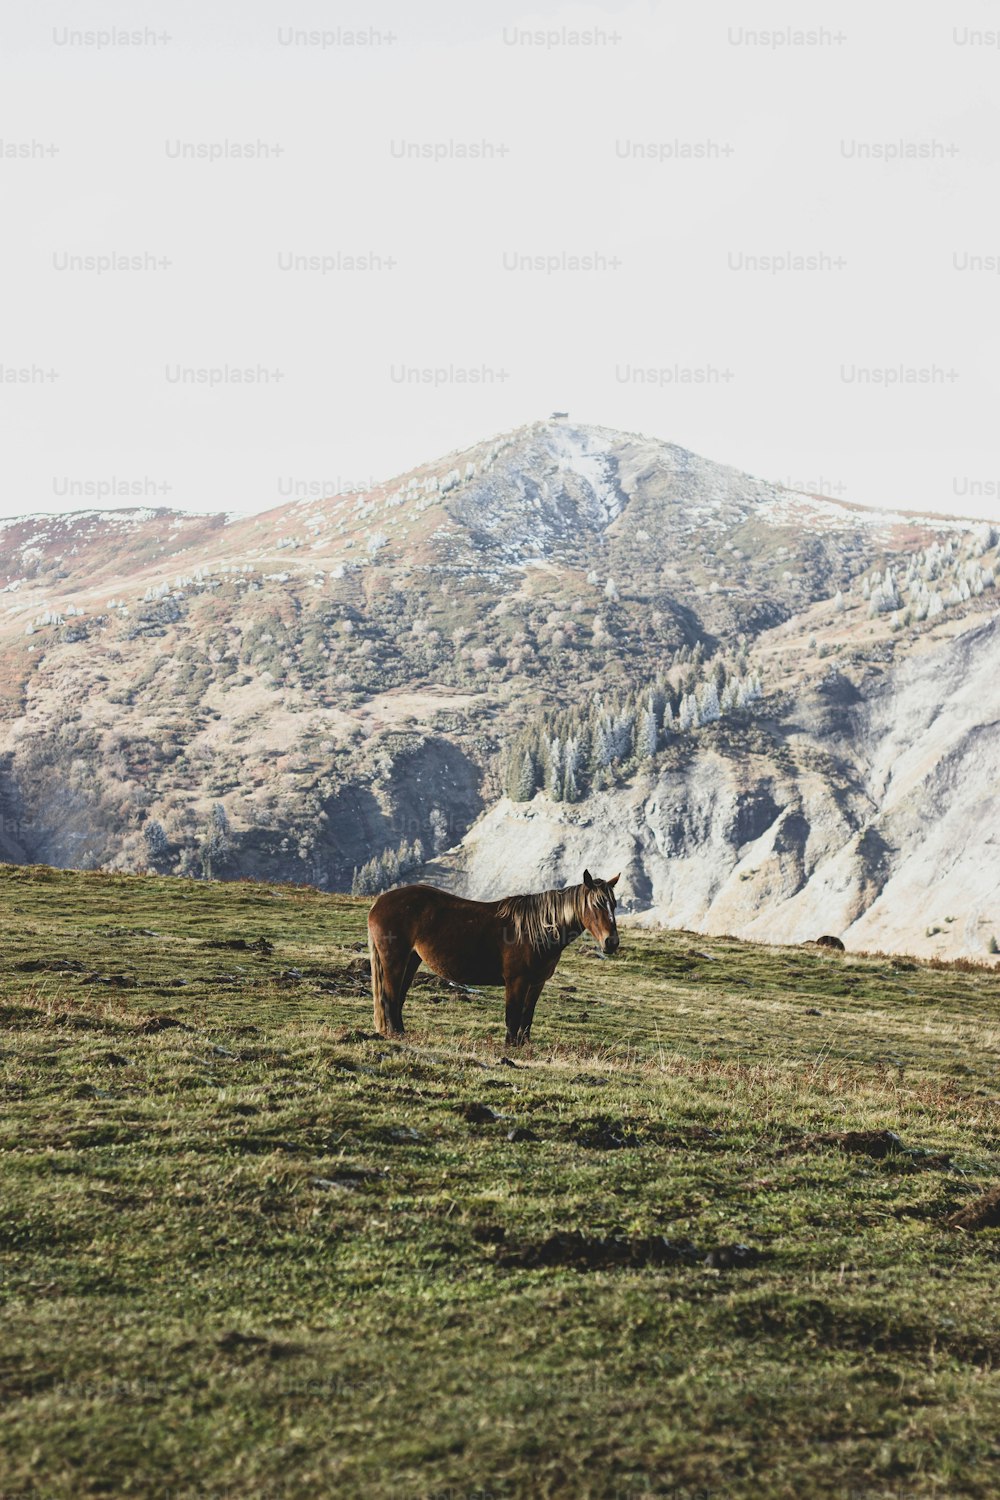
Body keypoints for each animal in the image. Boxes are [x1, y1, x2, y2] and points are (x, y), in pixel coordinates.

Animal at [367, 870, 617, 1044]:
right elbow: (512, 1015)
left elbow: (527, 1016)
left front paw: (523, 1046)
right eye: (596, 904)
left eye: (614, 904)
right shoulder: (516, 981)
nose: (611, 942)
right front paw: (510, 1046)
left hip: (411, 960)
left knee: (398, 999)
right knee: (389, 998)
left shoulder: (537, 983)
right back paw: (396, 1034)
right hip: (395, 960)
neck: (536, 930)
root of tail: (379, 902)